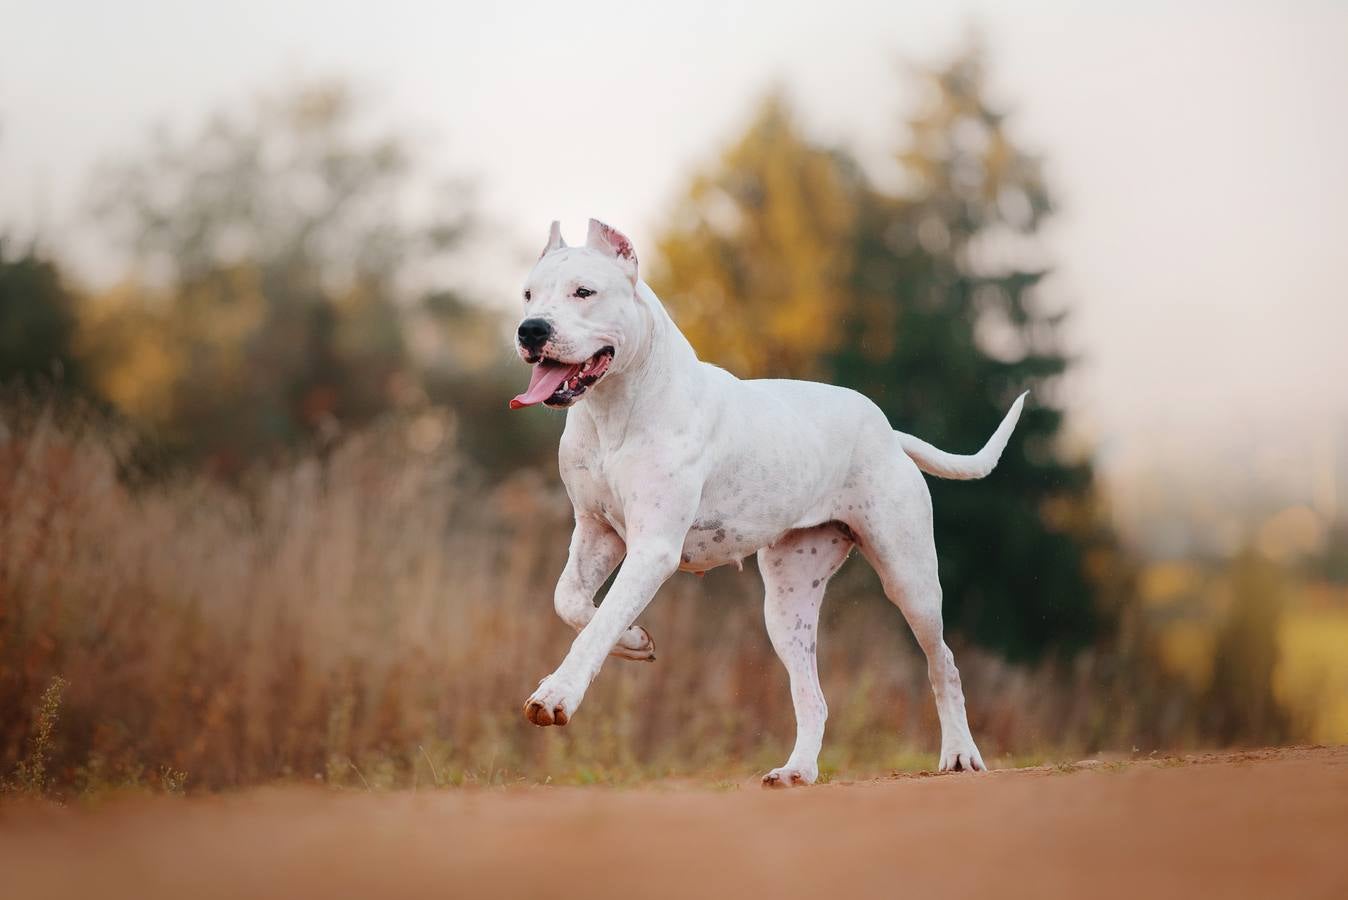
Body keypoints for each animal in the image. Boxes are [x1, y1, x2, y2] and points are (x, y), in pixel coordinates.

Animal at [509, 219, 1024, 786]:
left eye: (585, 292)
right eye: (529, 294)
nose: (531, 330)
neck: (613, 410)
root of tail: (889, 431)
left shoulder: (653, 549)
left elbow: (596, 626)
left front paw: (557, 694)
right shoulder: (596, 531)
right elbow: (571, 601)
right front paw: (636, 640)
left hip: (909, 579)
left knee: (943, 663)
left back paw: (959, 753)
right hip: (787, 602)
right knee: (813, 696)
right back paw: (797, 770)